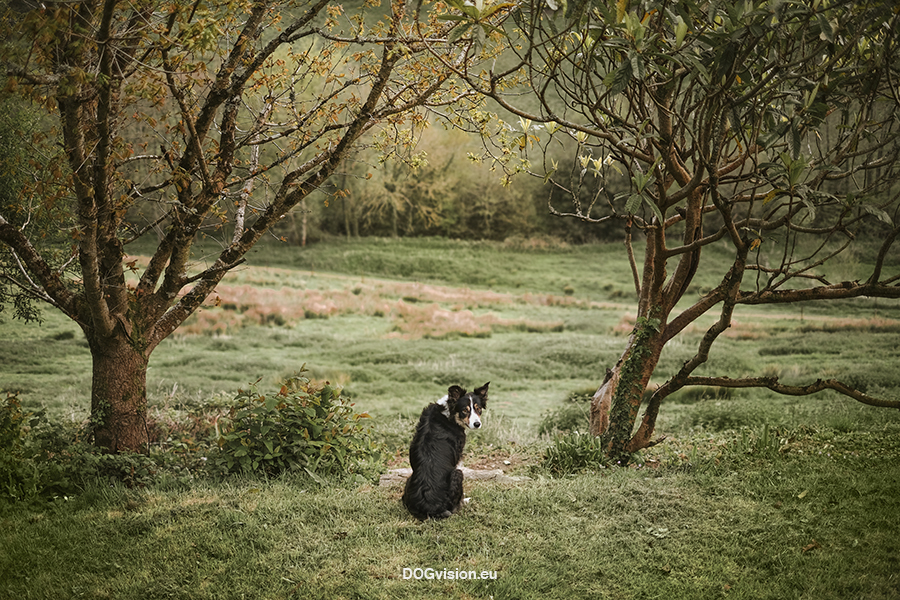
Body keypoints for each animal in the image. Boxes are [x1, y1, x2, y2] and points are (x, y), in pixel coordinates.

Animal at [402, 384, 488, 520]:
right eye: (464, 410)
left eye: (478, 409)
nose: (477, 424)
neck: (450, 414)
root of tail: (429, 508)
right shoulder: (457, 458)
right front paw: (464, 499)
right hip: (458, 474)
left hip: (409, 479)